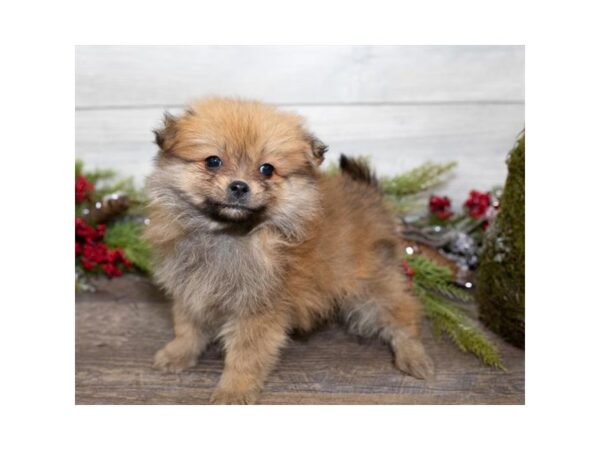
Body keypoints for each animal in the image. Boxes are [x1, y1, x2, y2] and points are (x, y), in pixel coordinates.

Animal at [145, 96, 436, 404]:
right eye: (213, 161)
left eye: (267, 169)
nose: (239, 186)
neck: (229, 235)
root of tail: (370, 194)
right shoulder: (191, 289)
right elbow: (188, 328)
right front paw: (177, 354)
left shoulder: (258, 311)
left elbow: (245, 356)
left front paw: (234, 391)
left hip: (374, 286)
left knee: (403, 315)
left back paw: (414, 356)